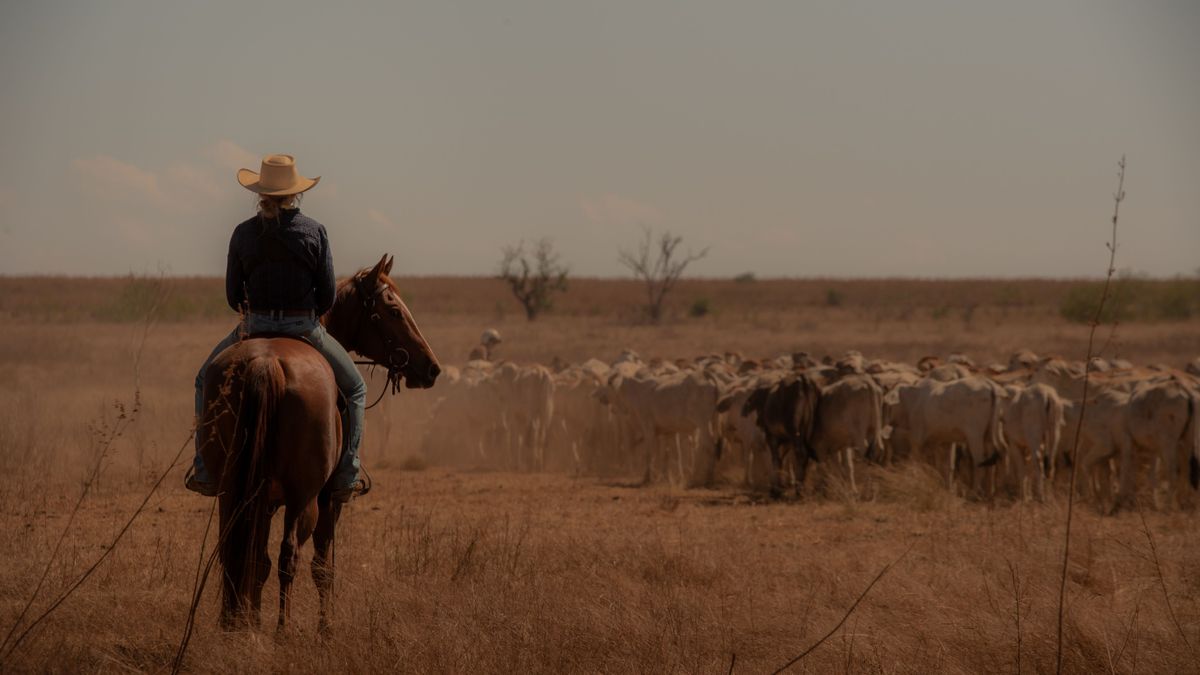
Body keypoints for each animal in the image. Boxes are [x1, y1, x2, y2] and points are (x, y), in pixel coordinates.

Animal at [196, 253, 441, 629]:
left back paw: (234, 626)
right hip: (305, 498)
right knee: (290, 556)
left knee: (236, 551)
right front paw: (325, 629)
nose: (431, 368)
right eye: (393, 311)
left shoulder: (262, 499)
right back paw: (282, 631)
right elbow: (323, 567)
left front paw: (251, 621)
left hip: (231, 489)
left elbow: (256, 560)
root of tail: (265, 363)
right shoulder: (329, 501)